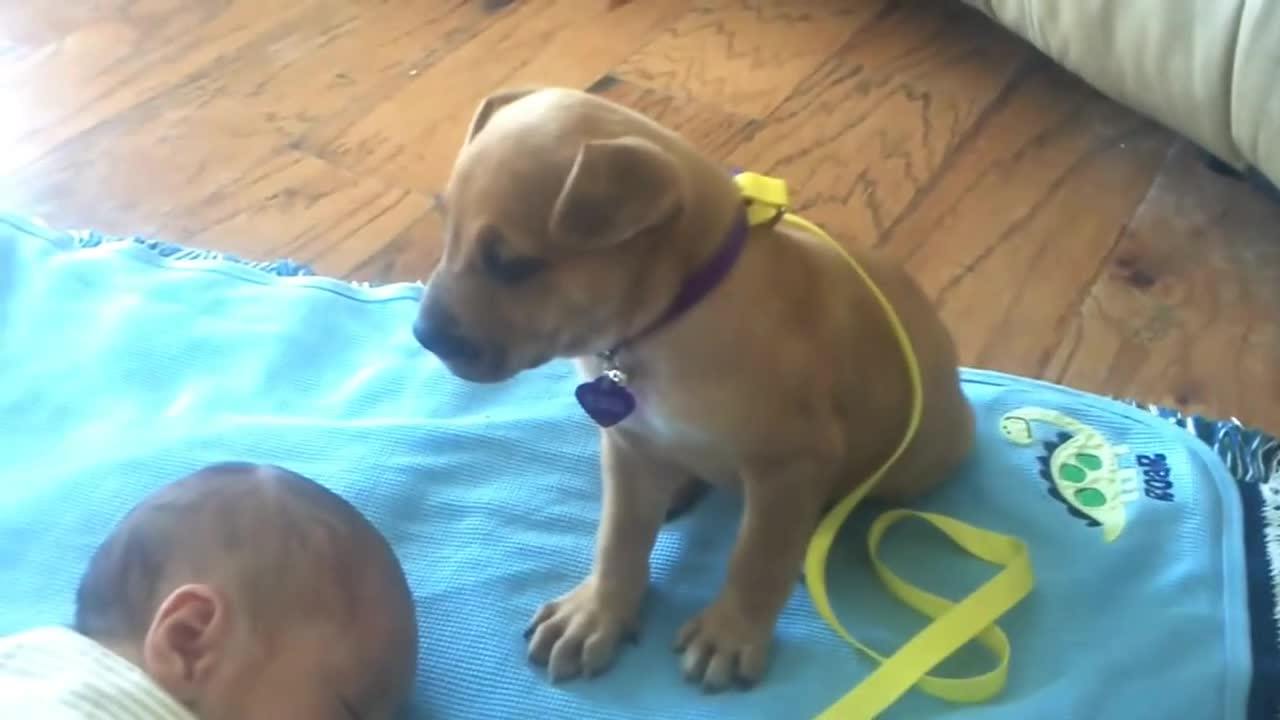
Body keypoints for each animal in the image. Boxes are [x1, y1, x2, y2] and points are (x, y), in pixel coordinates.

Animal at [414, 88, 972, 691]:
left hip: (907, 463)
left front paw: (731, 632)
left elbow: (756, 556)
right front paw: (596, 614)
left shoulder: (792, 459)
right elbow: (618, 537)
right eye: (443, 224)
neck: (669, 319)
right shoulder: (629, 443)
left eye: (514, 265)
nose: (422, 335)